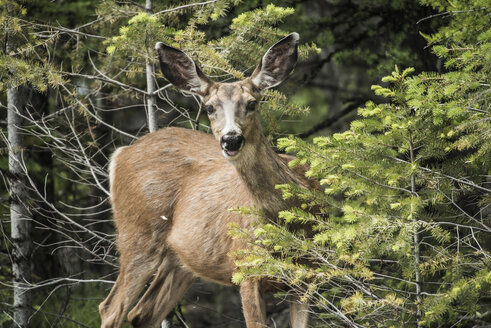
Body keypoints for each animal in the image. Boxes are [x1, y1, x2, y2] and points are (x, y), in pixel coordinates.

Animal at [99, 31, 320, 328]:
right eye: (210, 108)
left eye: (252, 103)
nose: (231, 139)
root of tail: (120, 154)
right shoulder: (245, 268)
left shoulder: (309, 273)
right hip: (137, 233)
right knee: (111, 308)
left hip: (181, 259)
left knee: (142, 313)